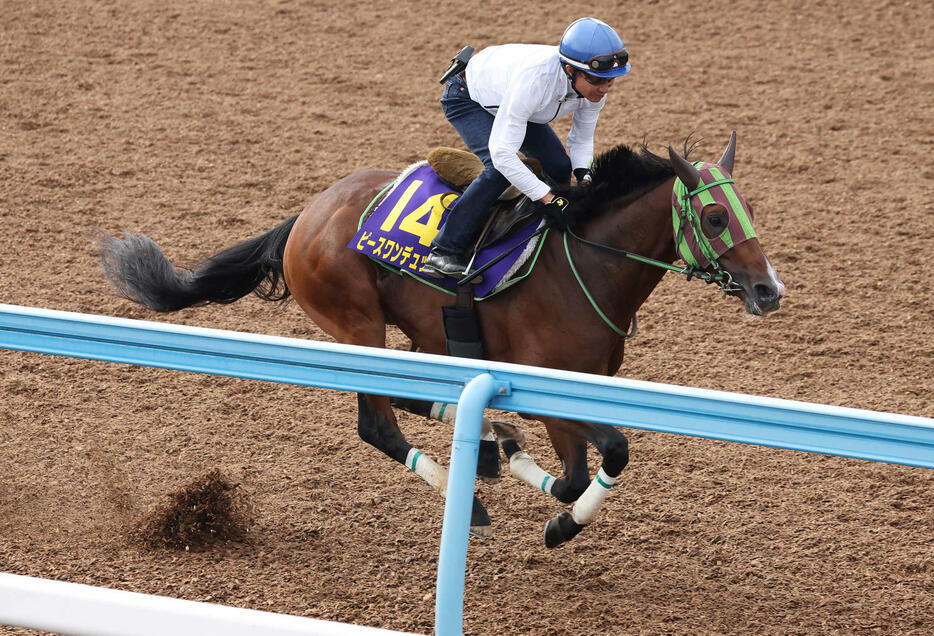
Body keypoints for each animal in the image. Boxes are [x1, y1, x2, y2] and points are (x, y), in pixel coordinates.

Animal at [93, 133, 784, 548]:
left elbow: (573, 473)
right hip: (358, 325)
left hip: (421, 332)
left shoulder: (572, 389)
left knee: (409, 397)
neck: (585, 265)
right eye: (715, 217)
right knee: (376, 422)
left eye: (749, 210)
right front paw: (558, 522)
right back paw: (467, 490)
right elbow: (609, 453)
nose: (768, 289)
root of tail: (306, 214)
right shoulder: (546, 388)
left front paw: (520, 465)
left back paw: (484, 445)